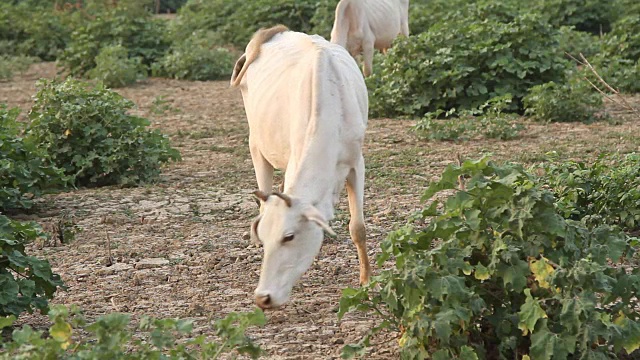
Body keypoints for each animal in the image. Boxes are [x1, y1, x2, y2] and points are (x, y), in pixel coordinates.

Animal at [230, 24, 370, 310]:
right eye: (265, 237)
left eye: (289, 236)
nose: (263, 297)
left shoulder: (356, 163)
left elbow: (357, 228)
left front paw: (366, 281)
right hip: (255, 143)